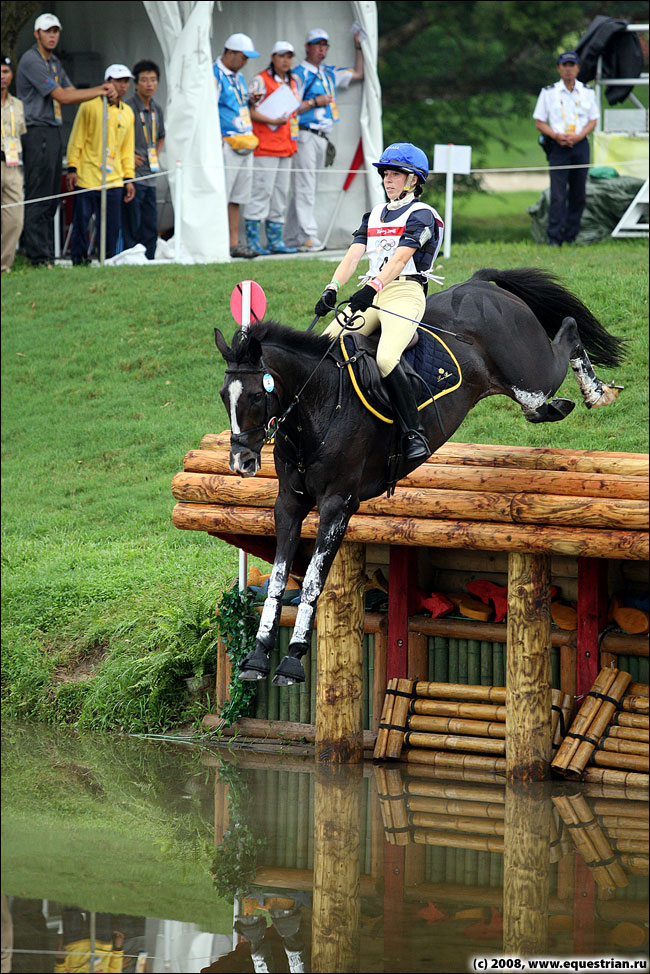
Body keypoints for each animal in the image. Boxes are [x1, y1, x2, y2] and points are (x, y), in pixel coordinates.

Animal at [215, 268, 624, 688]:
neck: (320, 404)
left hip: (531, 375)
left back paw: (597, 393)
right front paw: (257, 656)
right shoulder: (290, 504)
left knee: (567, 333)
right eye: (223, 396)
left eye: (254, 396)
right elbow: (281, 576)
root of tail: (480, 284)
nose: (241, 461)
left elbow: (312, 581)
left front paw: (293, 660)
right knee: (544, 398)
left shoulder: (337, 505)